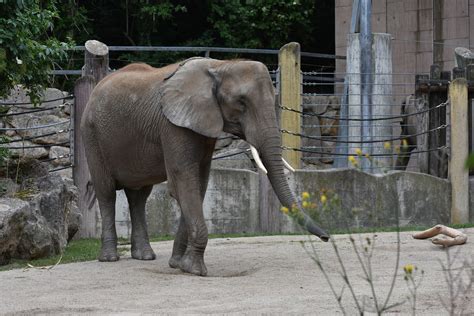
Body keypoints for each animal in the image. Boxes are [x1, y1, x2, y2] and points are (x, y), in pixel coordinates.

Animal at [81, 58, 328, 276]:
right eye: (241, 103)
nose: (327, 238)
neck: (220, 65)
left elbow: (199, 185)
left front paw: (178, 264)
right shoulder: (172, 125)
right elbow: (183, 182)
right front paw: (195, 270)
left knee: (138, 196)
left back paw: (145, 256)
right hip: (92, 135)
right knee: (106, 192)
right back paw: (110, 258)